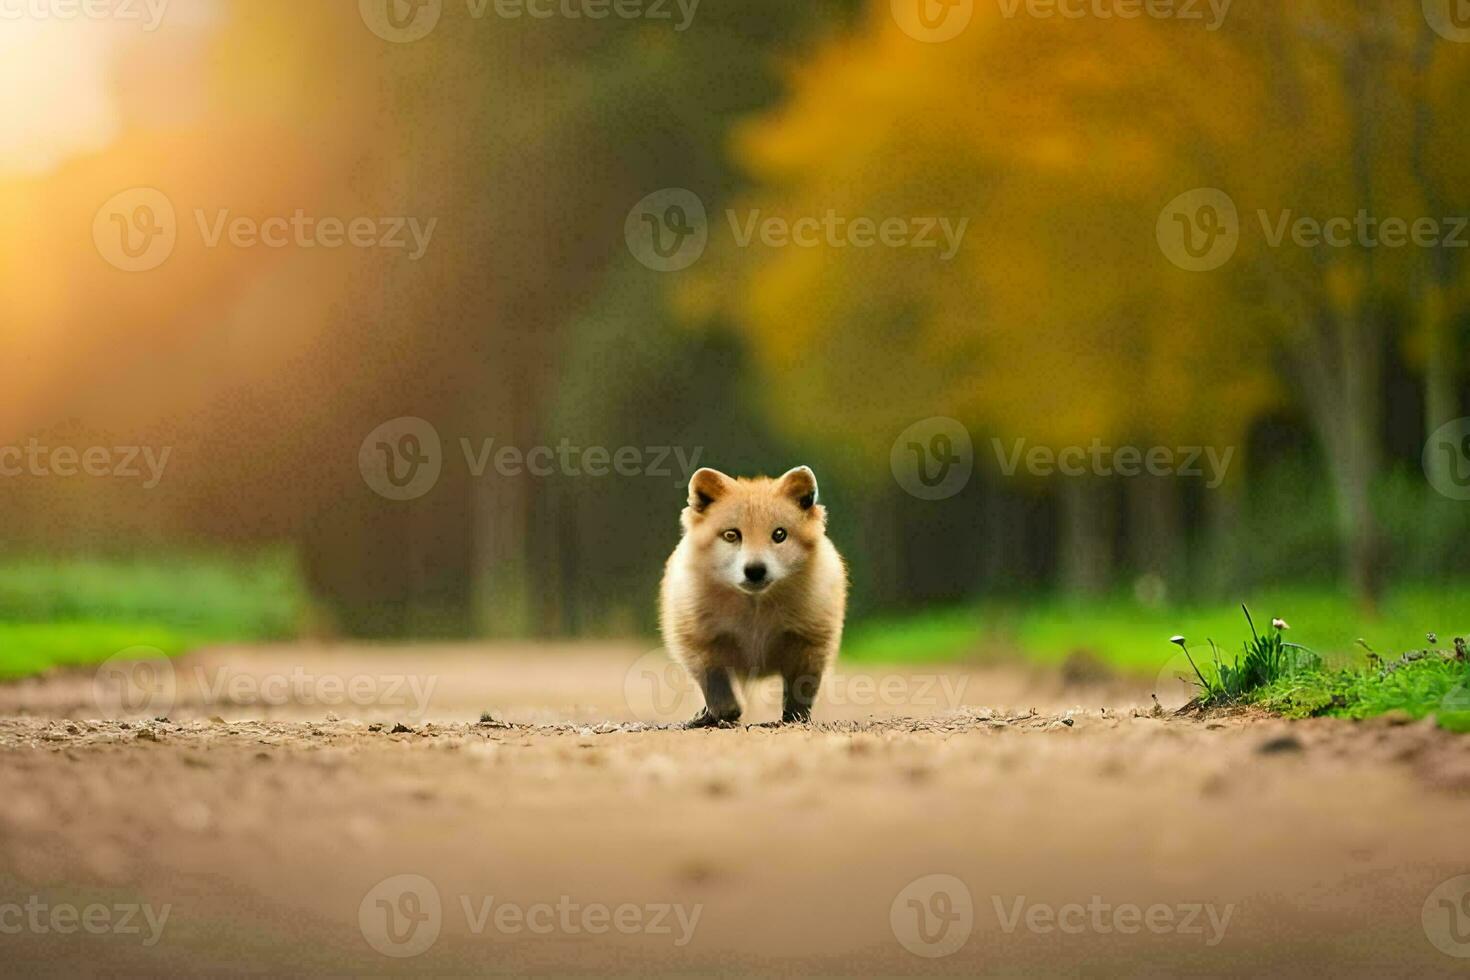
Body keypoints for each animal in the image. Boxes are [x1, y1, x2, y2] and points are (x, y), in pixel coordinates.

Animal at [658, 467, 852, 728]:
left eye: (779, 534)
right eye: (731, 535)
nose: (755, 570)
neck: (755, 612)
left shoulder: (810, 641)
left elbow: (800, 689)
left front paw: (795, 719)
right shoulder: (699, 641)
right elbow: (716, 683)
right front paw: (726, 713)